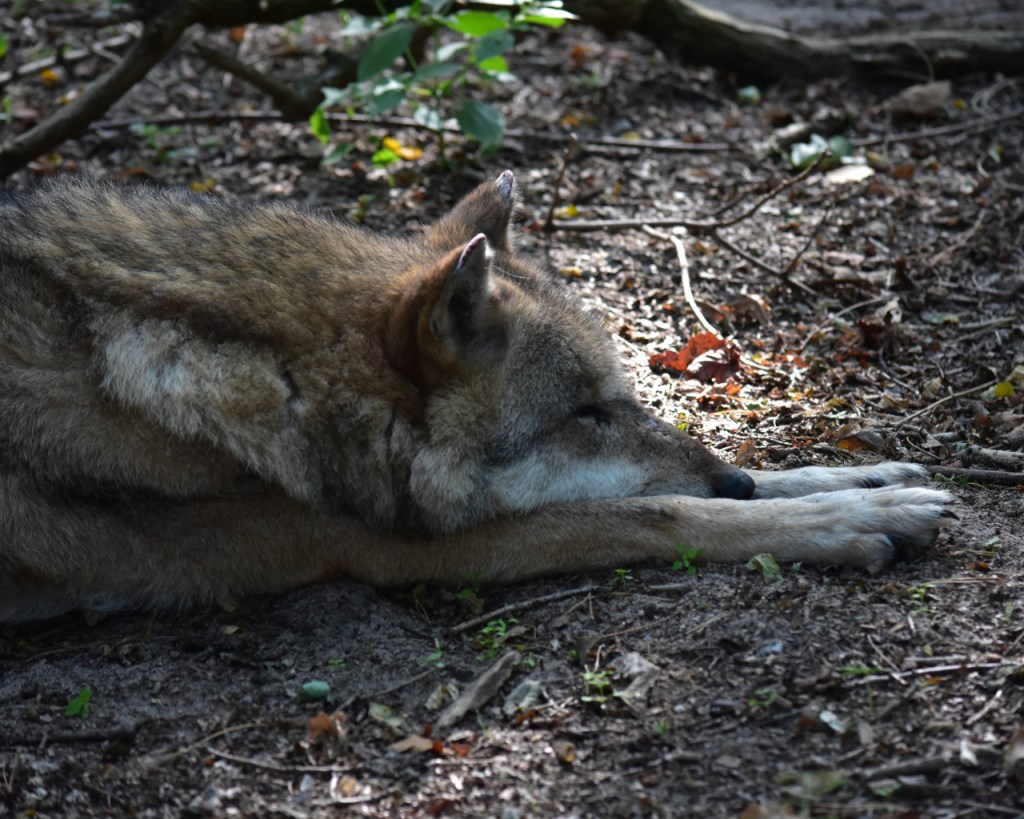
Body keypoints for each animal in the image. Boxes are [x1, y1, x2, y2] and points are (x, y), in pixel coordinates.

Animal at [0, 171, 952, 621]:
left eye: (620, 399)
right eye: (583, 416)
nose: (736, 483)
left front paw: (861, 480)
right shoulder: (378, 545)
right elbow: (652, 512)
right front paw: (845, 519)